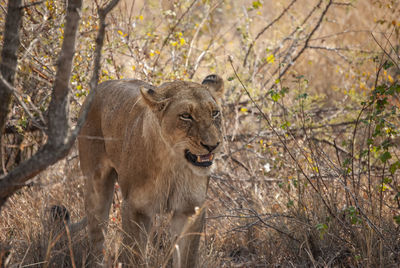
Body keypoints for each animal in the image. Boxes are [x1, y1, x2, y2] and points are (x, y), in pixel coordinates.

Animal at [76, 73, 223, 266]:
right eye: (186, 116)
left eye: (215, 113)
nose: (212, 145)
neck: (173, 164)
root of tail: (101, 85)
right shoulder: (135, 209)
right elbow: (134, 257)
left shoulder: (191, 209)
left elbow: (186, 259)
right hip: (96, 186)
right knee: (97, 237)